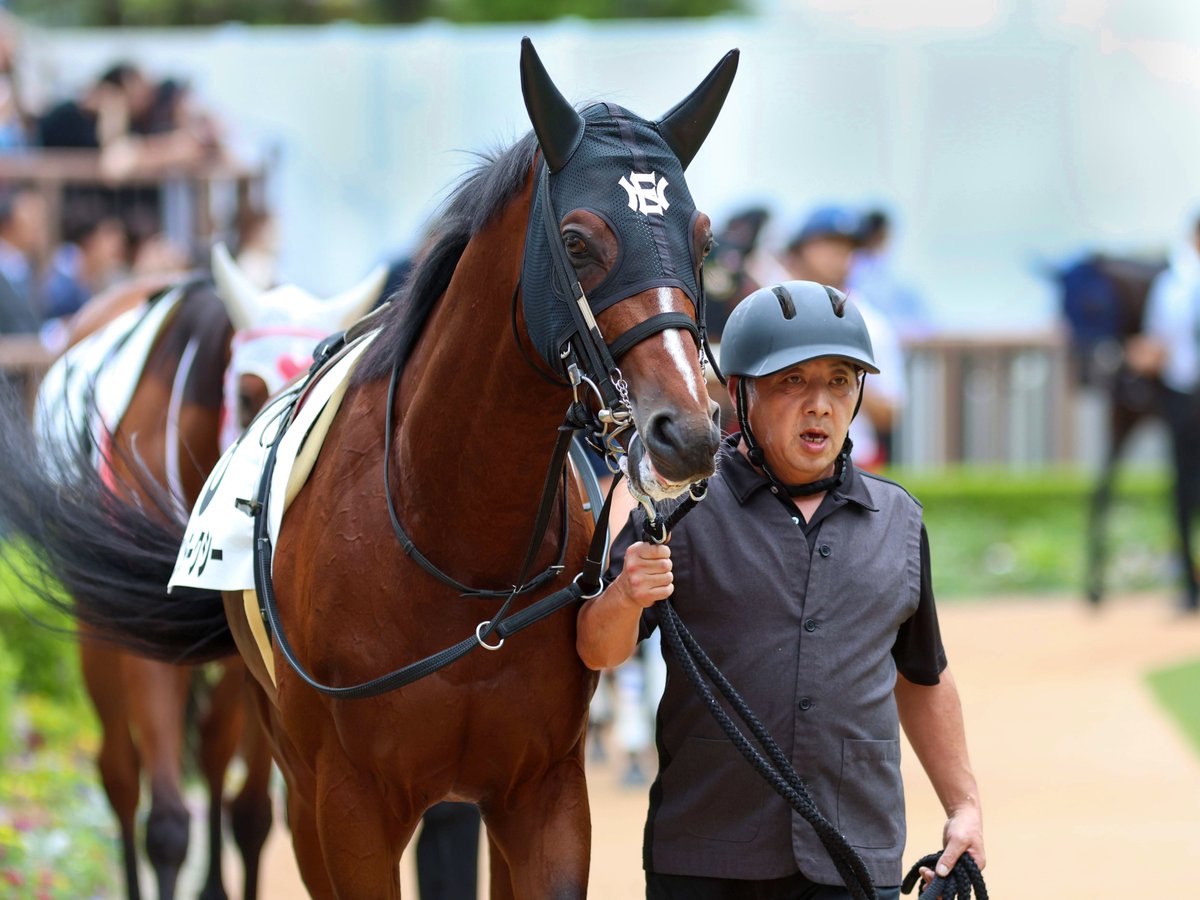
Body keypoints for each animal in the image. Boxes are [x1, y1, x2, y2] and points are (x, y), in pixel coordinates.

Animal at [5, 247, 383, 900]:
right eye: (251, 392)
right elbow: (166, 823)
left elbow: (253, 812)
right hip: (99, 630)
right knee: (120, 775)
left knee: (210, 757)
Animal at [1052, 252, 1167, 605]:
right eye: (1061, 310)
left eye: (1095, 304)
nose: (1086, 375)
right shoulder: (1124, 416)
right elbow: (1102, 490)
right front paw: (1094, 590)